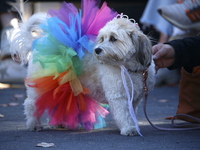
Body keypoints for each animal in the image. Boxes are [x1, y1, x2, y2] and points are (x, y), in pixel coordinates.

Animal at [10, 13, 155, 137]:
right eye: (102, 38)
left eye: (113, 39)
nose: (97, 50)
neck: (127, 68)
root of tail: (38, 42)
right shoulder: (118, 96)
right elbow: (124, 115)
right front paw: (128, 128)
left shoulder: (134, 98)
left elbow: (131, 114)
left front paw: (132, 126)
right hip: (39, 87)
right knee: (31, 104)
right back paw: (34, 125)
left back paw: (58, 123)